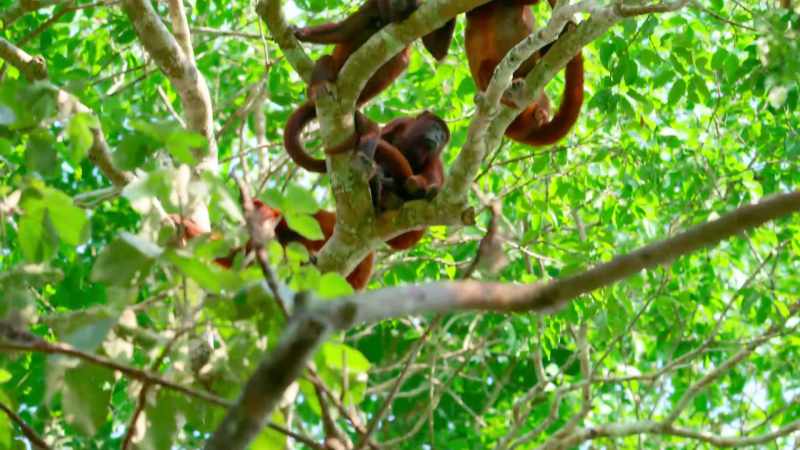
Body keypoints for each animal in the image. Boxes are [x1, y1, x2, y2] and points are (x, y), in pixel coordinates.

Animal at [284, 0, 457, 173]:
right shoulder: (372, 4)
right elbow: (343, 30)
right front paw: (300, 32)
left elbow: (437, 51)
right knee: (326, 59)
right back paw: (316, 89)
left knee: (400, 59)